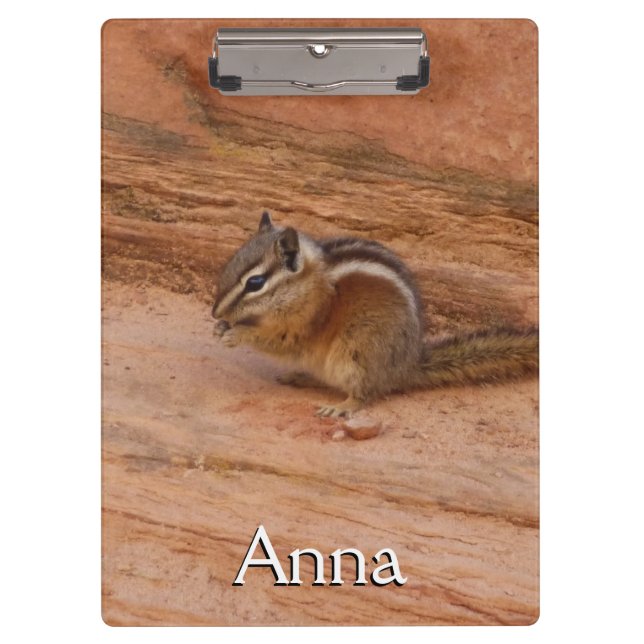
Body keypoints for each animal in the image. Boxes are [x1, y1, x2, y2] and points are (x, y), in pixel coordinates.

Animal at [212, 211, 538, 418]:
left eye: (255, 283)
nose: (214, 311)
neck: (307, 284)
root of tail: (406, 366)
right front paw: (220, 327)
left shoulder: (307, 322)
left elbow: (280, 341)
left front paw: (236, 333)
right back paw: (301, 376)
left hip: (358, 350)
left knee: (365, 394)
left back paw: (343, 406)